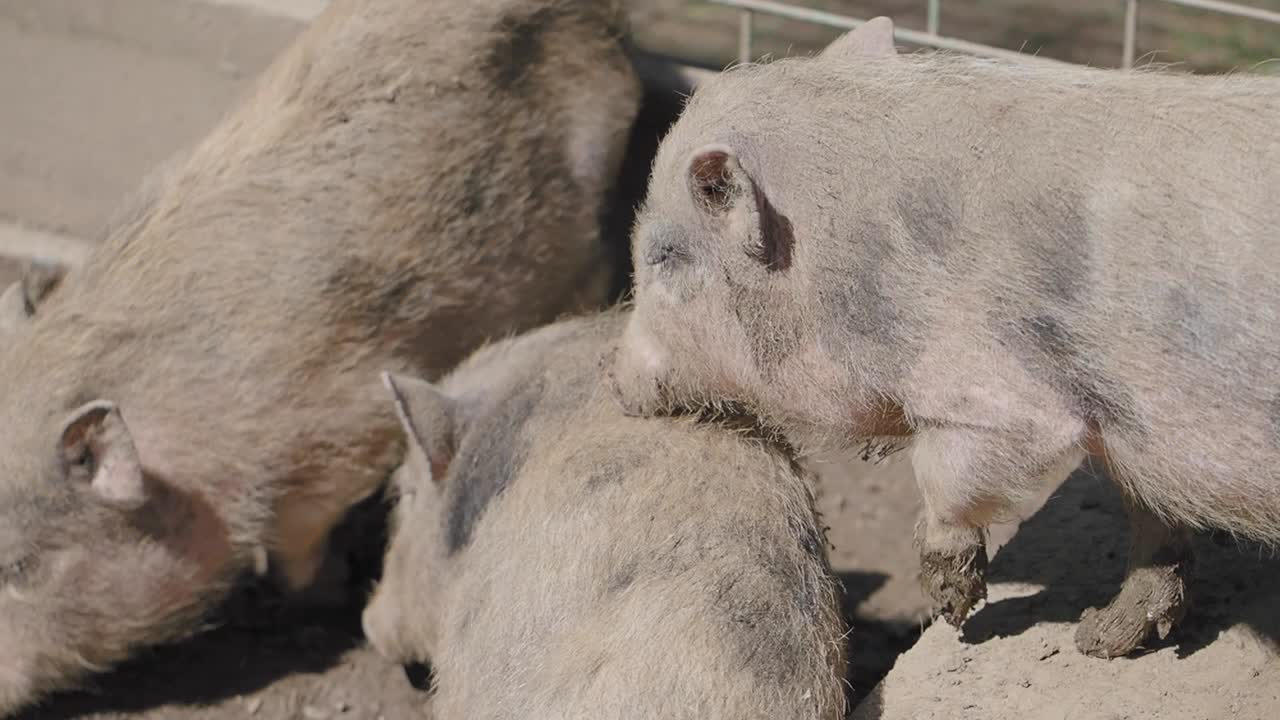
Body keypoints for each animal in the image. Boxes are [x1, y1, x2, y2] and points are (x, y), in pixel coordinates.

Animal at [605, 16, 1280, 659]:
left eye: (663, 257)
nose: (612, 379)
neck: (855, 267)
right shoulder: (1132, 436)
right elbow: (1152, 520)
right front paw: (1098, 643)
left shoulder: (1003, 395)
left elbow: (948, 469)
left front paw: (955, 611)